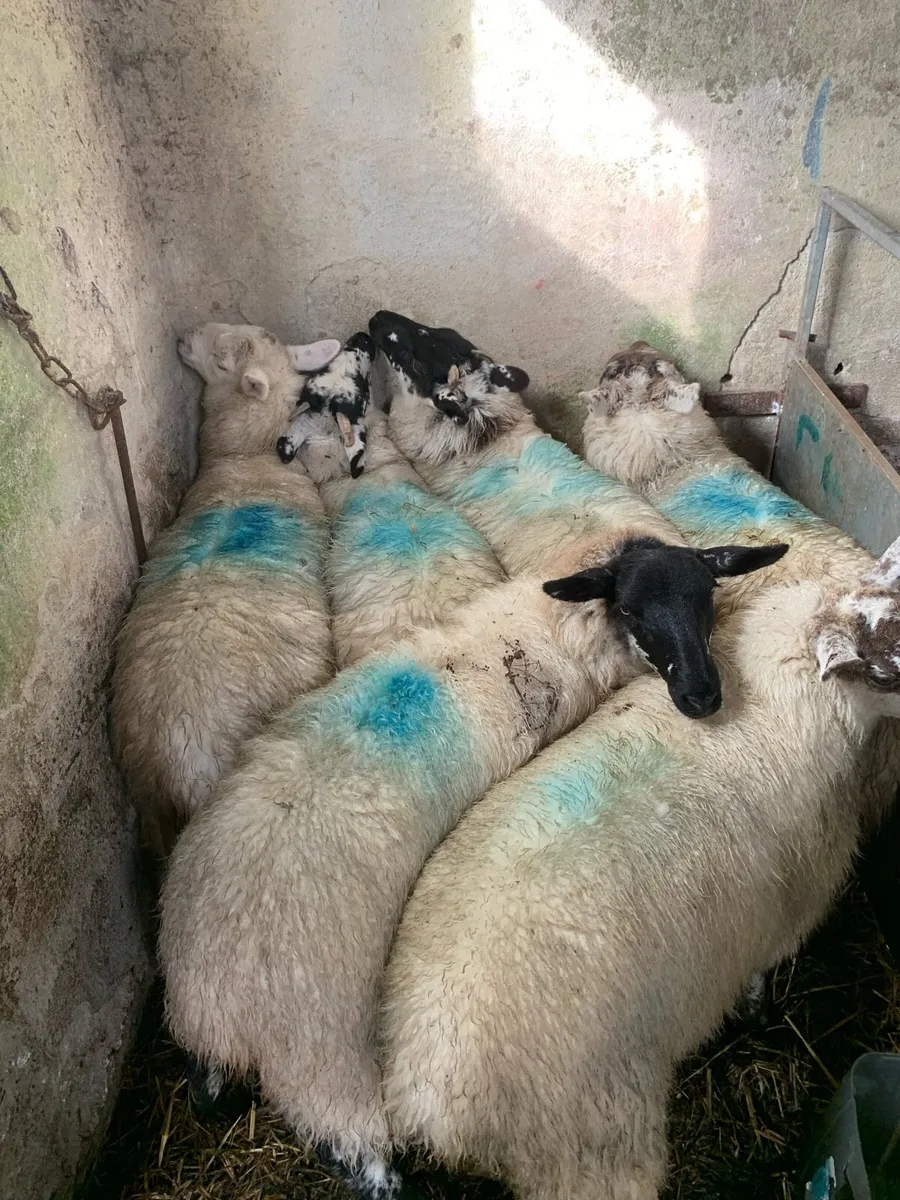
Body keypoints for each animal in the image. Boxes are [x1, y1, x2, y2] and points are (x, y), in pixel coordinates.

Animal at [158, 526, 782, 1200]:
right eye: (632, 610)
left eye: (707, 596)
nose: (701, 696)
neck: (549, 626)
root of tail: (216, 1002)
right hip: (321, 1055)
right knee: (352, 1147)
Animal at [380, 538, 900, 1200]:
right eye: (887, 667)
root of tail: (430, 1095)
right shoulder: (788, 906)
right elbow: (759, 975)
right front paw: (757, 1014)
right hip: (594, 1145)